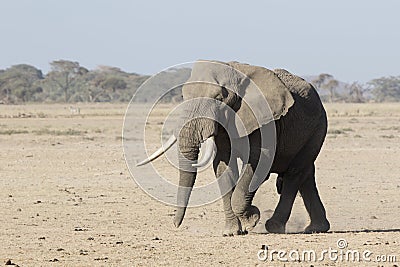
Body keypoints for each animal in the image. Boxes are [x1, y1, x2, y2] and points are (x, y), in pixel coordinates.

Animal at [138, 60, 332, 237]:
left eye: (219, 98)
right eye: (183, 96)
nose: (175, 224)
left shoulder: (265, 121)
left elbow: (259, 163)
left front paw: (252, 219)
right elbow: (222, 165)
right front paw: (232, 232)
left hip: (318, 128)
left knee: (294, 174)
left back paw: (274, 226)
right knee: (306, 175)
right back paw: (316, 228)